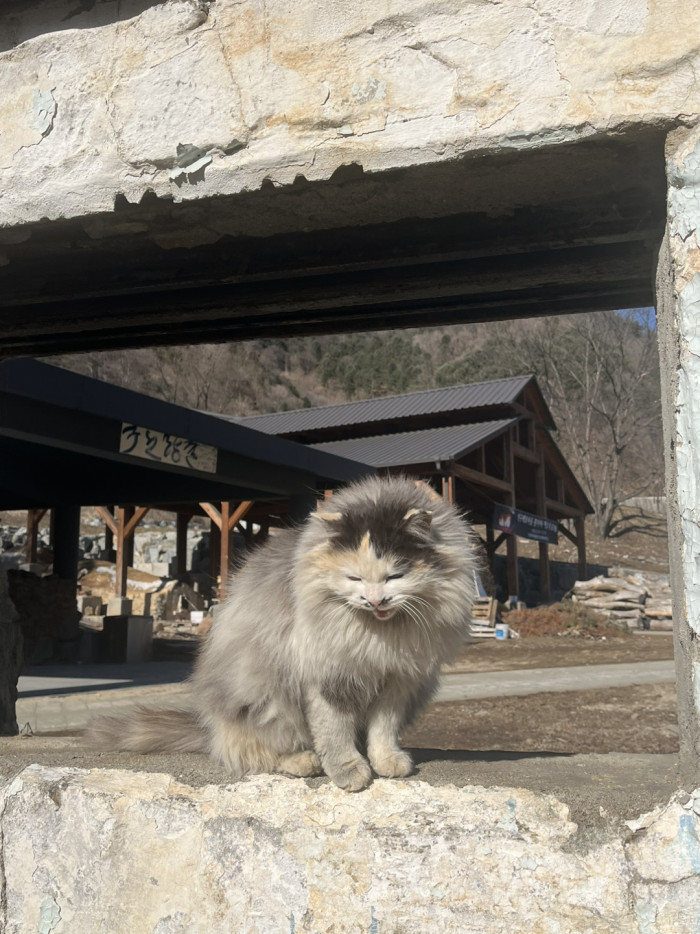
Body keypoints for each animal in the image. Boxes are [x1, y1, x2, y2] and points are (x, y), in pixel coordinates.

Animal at [89, 476, 476, 788]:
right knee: (256, 749)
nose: (374, 600)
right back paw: (304, 761)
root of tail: (208, 725)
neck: (378, 635)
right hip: (266, 697)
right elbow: (334, 731)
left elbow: (383, 730)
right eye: (353, 578)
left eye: (395, 576)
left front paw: (387, 761)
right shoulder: (328, 677)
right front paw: (348, 771)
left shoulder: (398, 680)